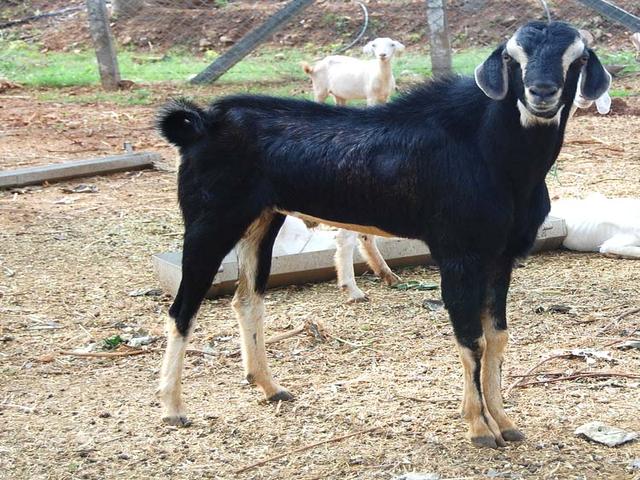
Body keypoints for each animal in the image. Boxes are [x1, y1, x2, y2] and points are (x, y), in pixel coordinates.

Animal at [157, 21, 610, 448]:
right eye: (512, 58)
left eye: (577, 59)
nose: (542, 92)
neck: (492, 156)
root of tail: (203, 123)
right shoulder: (458, 254)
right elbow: (472, 339)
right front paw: (480, 429)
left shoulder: (501, 256)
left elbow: (497, 337)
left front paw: (505, 422)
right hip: (210, 220)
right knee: (182, 308)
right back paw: (173, 408)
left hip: (262, 219)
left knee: (247, 299)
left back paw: (269, 387)